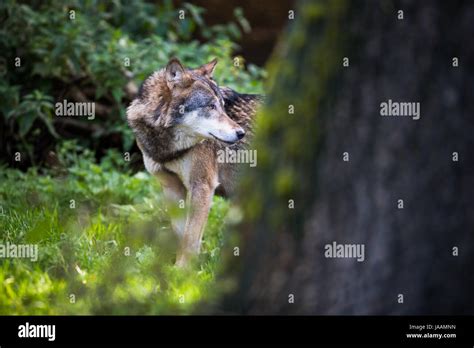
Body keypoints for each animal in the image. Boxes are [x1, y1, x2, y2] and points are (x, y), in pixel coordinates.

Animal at [126, 58, 262, 268]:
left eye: (222, 106)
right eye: (211, 106)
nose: (241, 133)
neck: (168, 149)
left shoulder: (202, 186)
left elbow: (190, 238)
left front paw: (182, 271)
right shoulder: (171, 186)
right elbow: (182, 234)